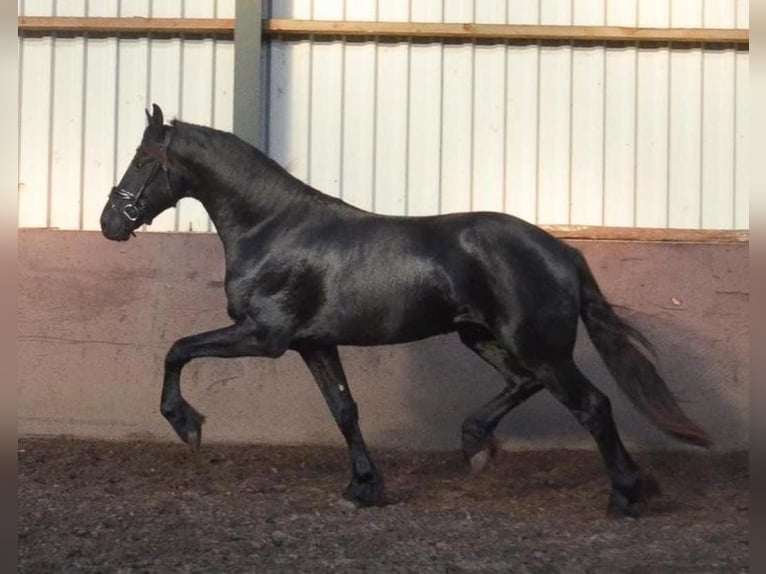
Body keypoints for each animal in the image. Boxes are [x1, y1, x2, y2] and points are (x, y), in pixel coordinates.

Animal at [102, 106, 712, 520]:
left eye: (142, 160)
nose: (110, 223)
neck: (272, 228)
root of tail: (564, 253)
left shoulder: (263, 336)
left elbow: (177, 349)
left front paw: (186, 424)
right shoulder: (313, 343)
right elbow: (344, 412)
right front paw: (364, 488)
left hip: (536, 346)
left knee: (592, 405)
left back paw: (626, 494)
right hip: (482, 337)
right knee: (524, 384)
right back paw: (475, 442)